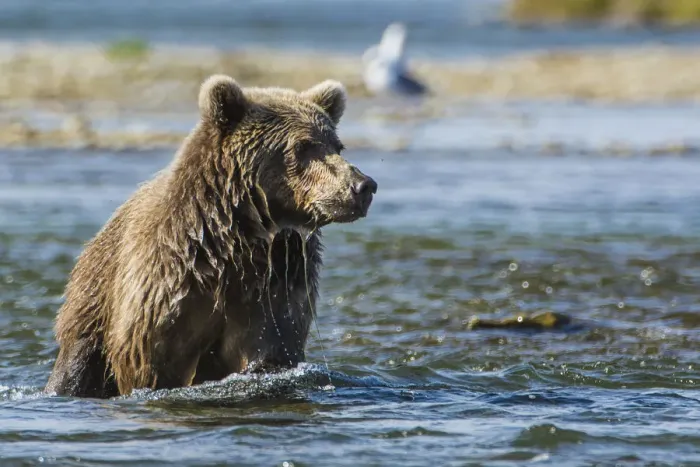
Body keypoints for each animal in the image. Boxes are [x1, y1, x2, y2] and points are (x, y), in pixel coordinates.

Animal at [45, 74, 377, 398]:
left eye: (336, 145)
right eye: (303, 146)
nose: (363, 186)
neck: (236, 241)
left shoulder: (275, 286)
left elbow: (271, 349)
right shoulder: (171, 289)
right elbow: (151, 363)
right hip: (93, 302)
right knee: (76, 366)